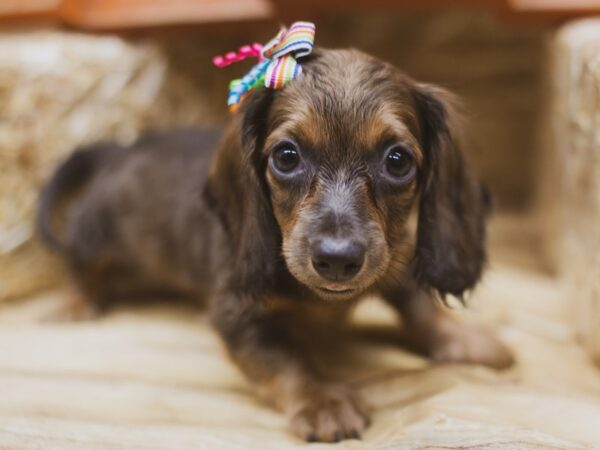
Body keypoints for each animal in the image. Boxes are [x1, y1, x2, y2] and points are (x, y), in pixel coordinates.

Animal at [37, 47, 512, 442]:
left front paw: (465, 338)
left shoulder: (394, 258)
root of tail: (121, 149)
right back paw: (74, 303)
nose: (336, 260)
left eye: (398, 161)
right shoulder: (238, 315)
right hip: (94, 237)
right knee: (82, 269)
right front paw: (322, 400)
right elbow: (286, 357)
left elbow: (421, 307)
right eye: (286, 156)